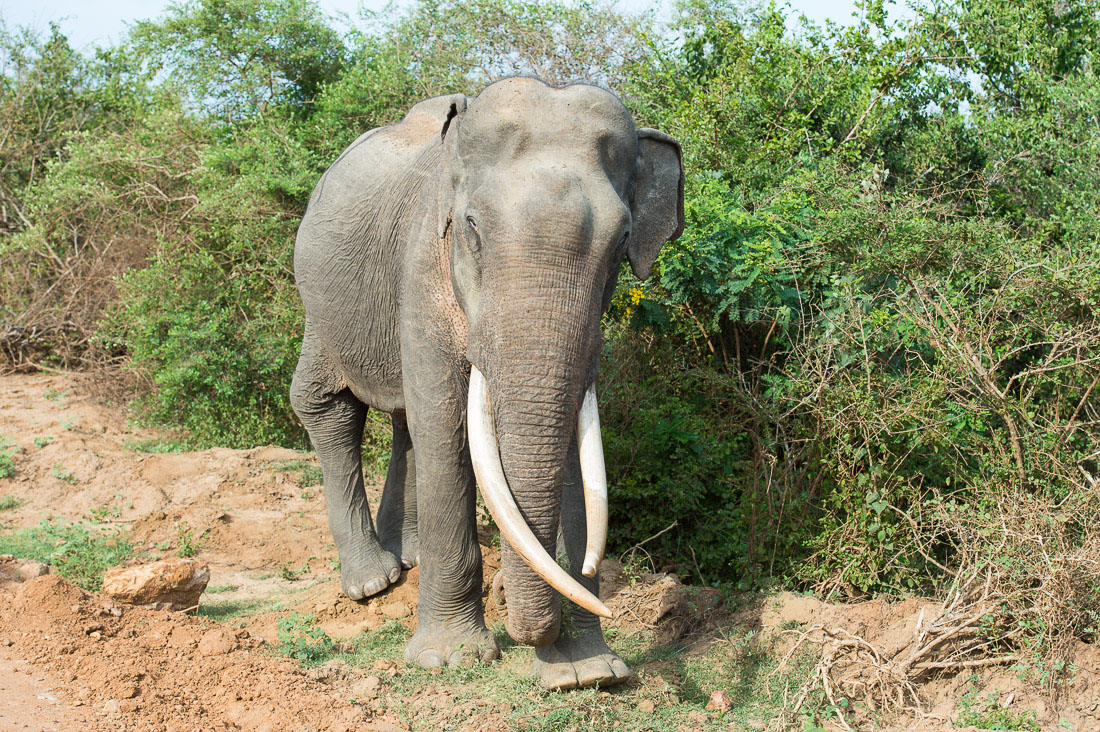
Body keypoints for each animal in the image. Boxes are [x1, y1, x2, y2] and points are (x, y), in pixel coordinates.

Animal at [290, 77, 686, 686]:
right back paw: (373, 581)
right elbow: (446, 430)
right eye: (473, 227)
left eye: (622, 241)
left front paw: (589, 673)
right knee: (328, 404)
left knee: (403, 421)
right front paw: (448, 658)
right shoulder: (422, 270)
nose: (536, 635)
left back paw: (409, 559)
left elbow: (570, 452)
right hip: (321, 303)